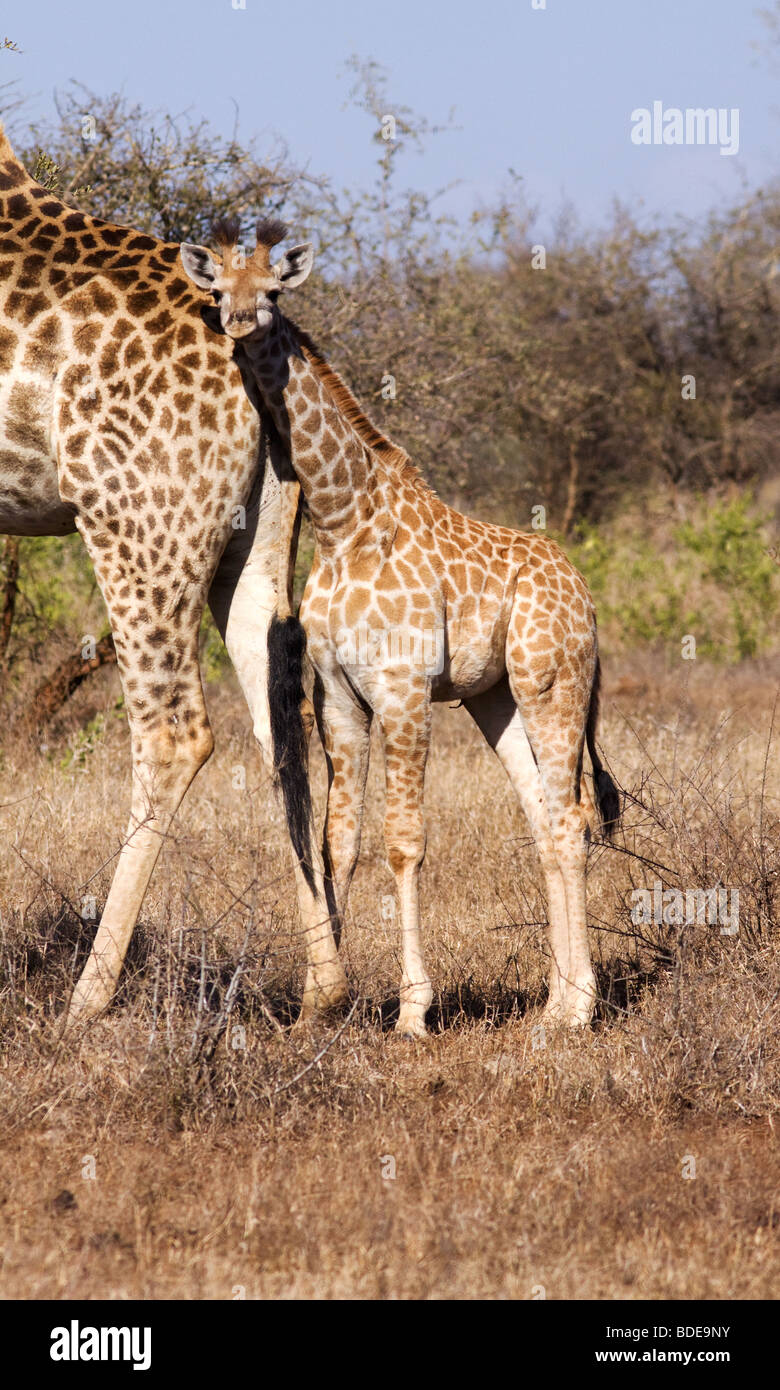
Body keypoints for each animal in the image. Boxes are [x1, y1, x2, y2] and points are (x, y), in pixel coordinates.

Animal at [0, 125, 346, 1028]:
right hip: (253, 537)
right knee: (280, 720)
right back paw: (324, 990)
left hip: (137, 525)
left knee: (175, 731)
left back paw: (85, 1000)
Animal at [179, 216, 617, 1039]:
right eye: (218, 290)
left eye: (275, 290)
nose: (241, 323)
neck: (344, 517)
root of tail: (585, 596)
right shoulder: (340, 695)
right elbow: (338, 841)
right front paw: (323, 1003)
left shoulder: (406, 687)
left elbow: (405, 842)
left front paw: (414, 1010)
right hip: (495, 698)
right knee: (546, 819)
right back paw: (552, 1004)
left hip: (553, 685)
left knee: (572, 816)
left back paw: (580, 1009)